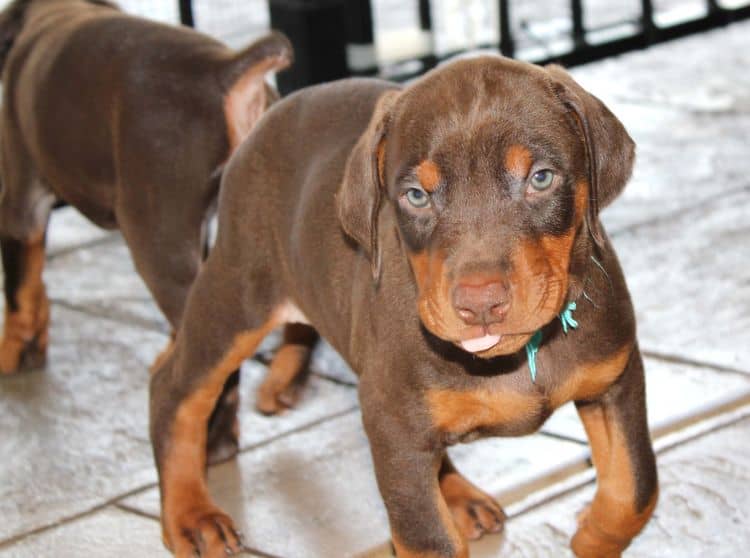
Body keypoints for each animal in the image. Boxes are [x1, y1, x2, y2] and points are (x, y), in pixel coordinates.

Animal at [0, 2, 290, 460]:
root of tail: (224, 68)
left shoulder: (22, 200)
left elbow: (19, 290)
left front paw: (12, 355)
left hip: (158, 244)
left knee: (208, 371)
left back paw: (212, 439)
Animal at [151, 54, 656, 556]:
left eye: (541, 178)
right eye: (416, 195)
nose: (480, 305)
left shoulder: (616, 378)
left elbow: (636, 489)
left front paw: (592, 535)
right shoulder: (393, 422)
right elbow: (428, 537)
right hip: (239, 291)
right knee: (172, 385)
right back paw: (190, 516)